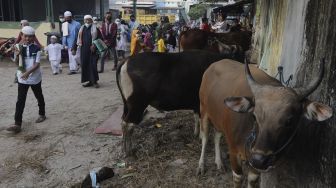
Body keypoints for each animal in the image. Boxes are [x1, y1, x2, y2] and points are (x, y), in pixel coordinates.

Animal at [198, 58, 332, 187]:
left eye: (289, 121)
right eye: (254, 116)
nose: (259, 159)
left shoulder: (257, 165)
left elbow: (252, 180)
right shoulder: (234, 153)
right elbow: (238, 178)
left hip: (217, 118)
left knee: (217, 136)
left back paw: (219, 162)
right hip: (203, 111)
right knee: (205, 138)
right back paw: (201, 166)